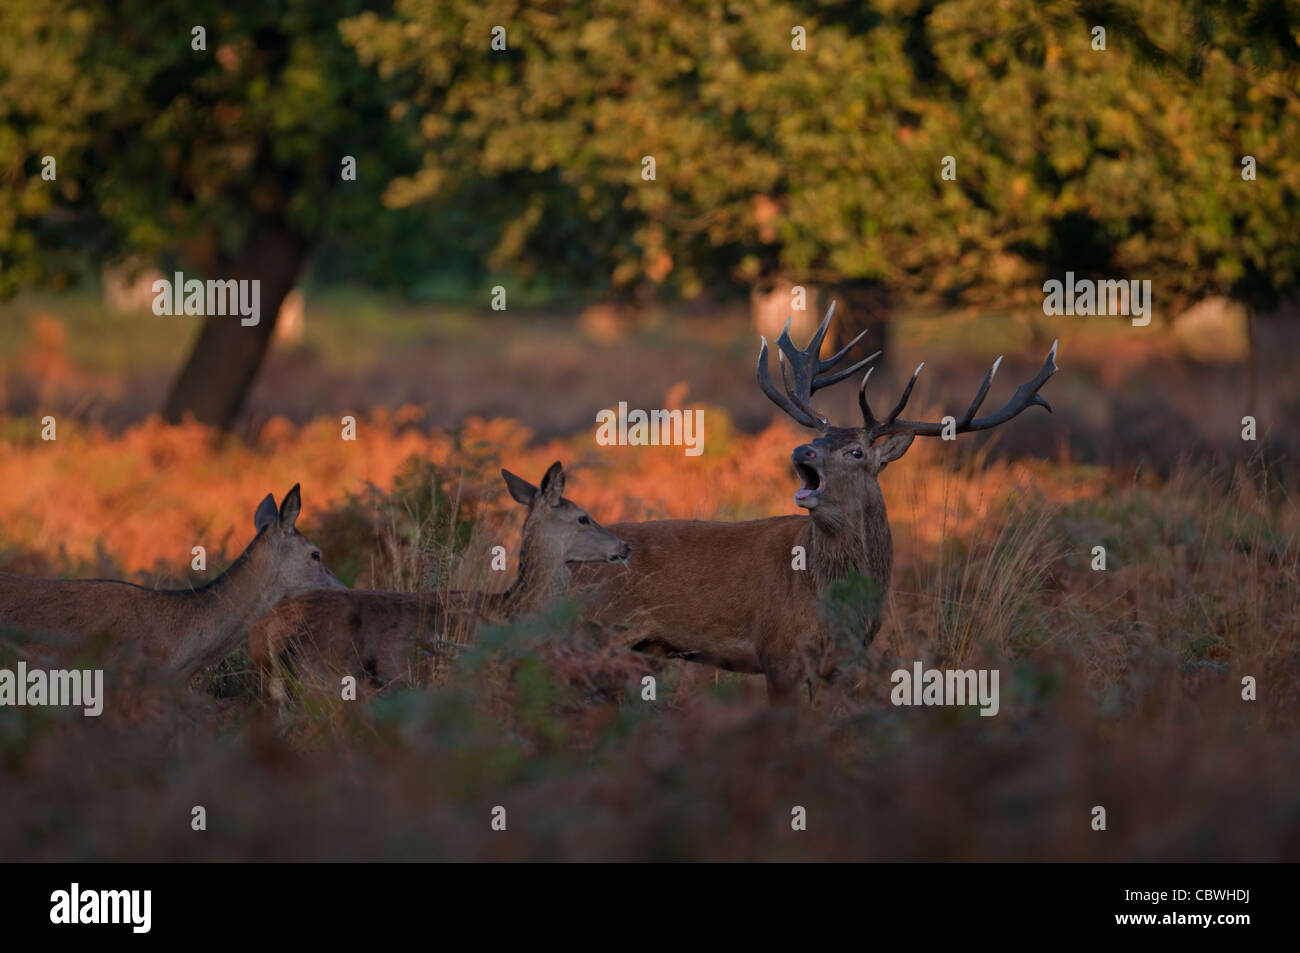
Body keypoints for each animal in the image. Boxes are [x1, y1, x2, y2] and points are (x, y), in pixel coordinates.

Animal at [572, 301, 1055, 702]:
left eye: (855, 451)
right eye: (818, 439)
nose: (801, 451)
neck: (831, 600)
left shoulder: (841, 662)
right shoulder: (777, 651)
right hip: (593, 629)